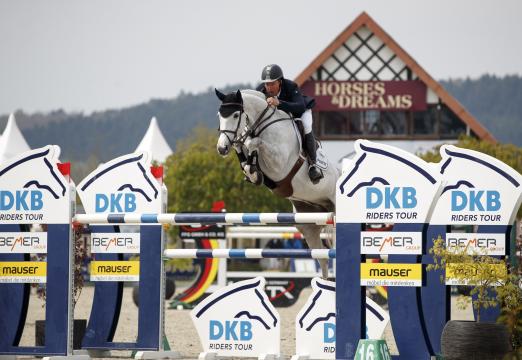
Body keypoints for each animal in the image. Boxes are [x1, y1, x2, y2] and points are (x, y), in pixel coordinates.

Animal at [214, 89, 340, 278]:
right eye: (219, 115)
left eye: (236, 115)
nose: (222, 148)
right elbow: (246, 152)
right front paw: (251, 171)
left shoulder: (279, 164)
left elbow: (253, 142)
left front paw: (251, 161)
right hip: (308, 224)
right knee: (323, 258)